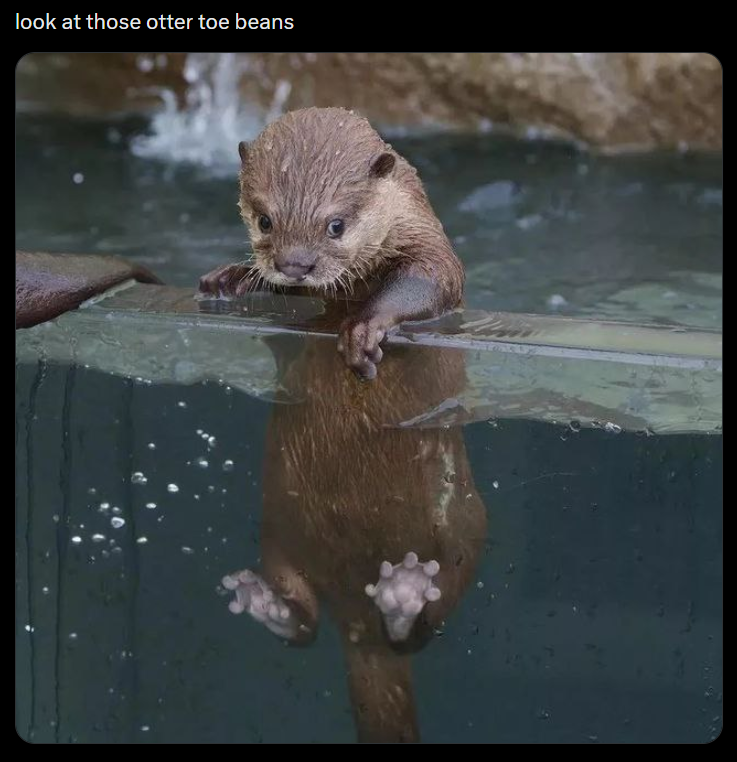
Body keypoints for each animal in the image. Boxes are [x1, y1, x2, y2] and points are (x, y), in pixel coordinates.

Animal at [198, 106, 465, 380]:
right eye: (264, 221)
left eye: (336, 226)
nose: (294, 265)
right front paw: (233, 277)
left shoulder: (418, 232)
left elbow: (436, 274)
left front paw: (361, 328)